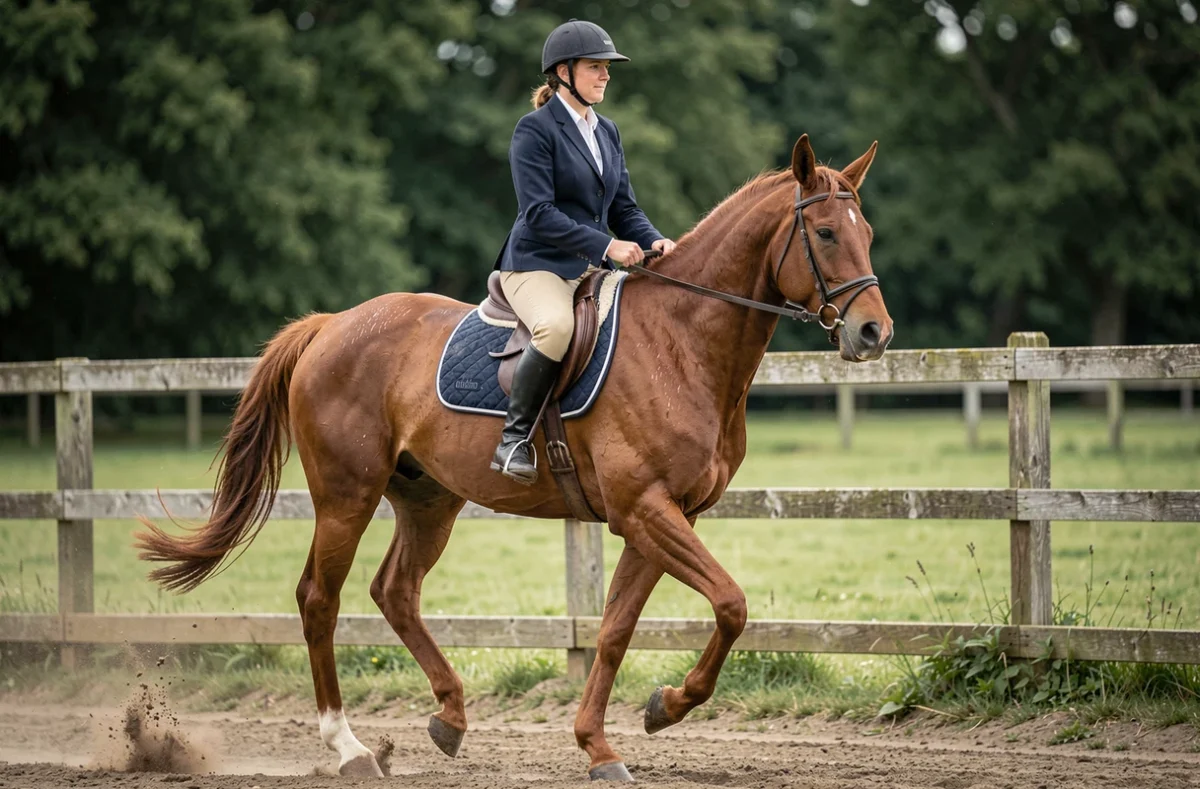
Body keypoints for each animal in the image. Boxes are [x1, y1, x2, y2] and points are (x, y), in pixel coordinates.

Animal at [135, 134, 893, 781]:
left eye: (867, 234)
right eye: (826, 233)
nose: (874, 333)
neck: (680, 342)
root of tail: (330, 326)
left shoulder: (663, 518)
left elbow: (616, 629)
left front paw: (610, 740)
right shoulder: (645, 509)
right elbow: (731, 604)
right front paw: (663, 708)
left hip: (428, 498)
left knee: (395, 591)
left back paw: (449, 717)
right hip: (346, 496)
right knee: (320, 599)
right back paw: (350, 747)